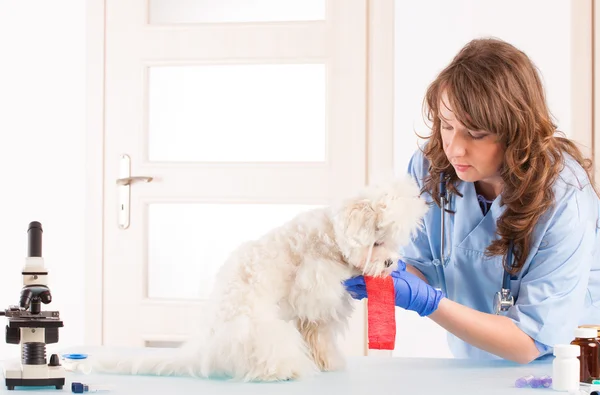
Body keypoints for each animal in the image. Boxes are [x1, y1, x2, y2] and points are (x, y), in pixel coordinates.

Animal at [94, 175, 428, 382]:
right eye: (377, 241)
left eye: (392, 242)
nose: (390, 263)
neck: (331, 236)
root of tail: (206, 350)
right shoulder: (316, 287)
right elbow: (319, 324)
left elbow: (319, 339)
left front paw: (328, 362)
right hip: (261, 330)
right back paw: (284, 370)